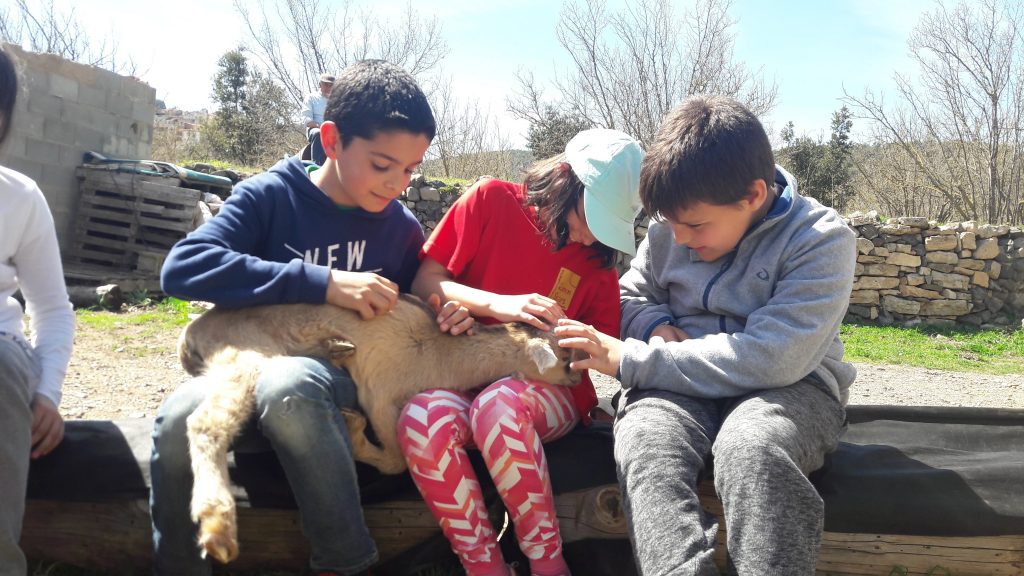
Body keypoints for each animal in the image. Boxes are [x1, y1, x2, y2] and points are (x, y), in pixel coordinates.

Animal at [176, 294, 582, 564]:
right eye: (565, 356)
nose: (578, 379)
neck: (436, 353)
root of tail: (190, 333)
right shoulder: (379, 397)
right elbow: (394, 460)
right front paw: (351, 424)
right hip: (245, 357)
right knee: (204, 422)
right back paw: (217, 530)